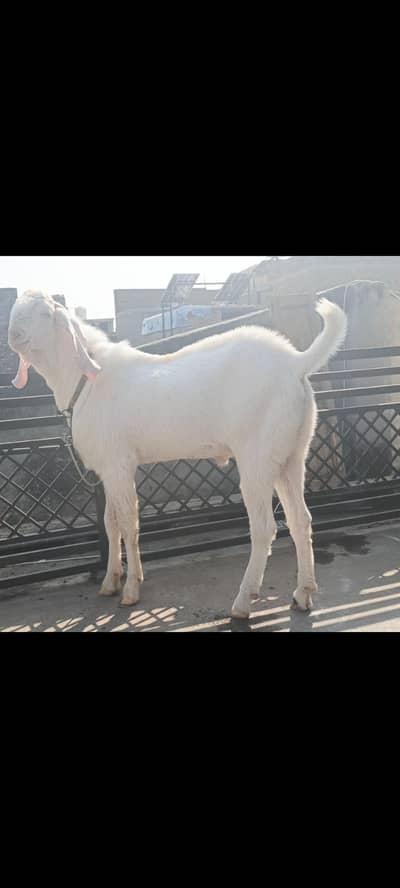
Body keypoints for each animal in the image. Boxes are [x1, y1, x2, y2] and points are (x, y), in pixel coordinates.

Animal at [8, 290, 347, 618]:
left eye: (45, 313)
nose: (13, 334)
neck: (87, 380)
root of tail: (296, 363)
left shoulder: (119, 463)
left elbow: (129, 523)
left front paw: (131, 589)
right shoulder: (106, 468)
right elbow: (110, 521)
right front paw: (110, 581)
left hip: (258, 454)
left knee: (264, 527)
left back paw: (243, 601)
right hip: (292, 453)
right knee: (300, 519)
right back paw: (303, 594)